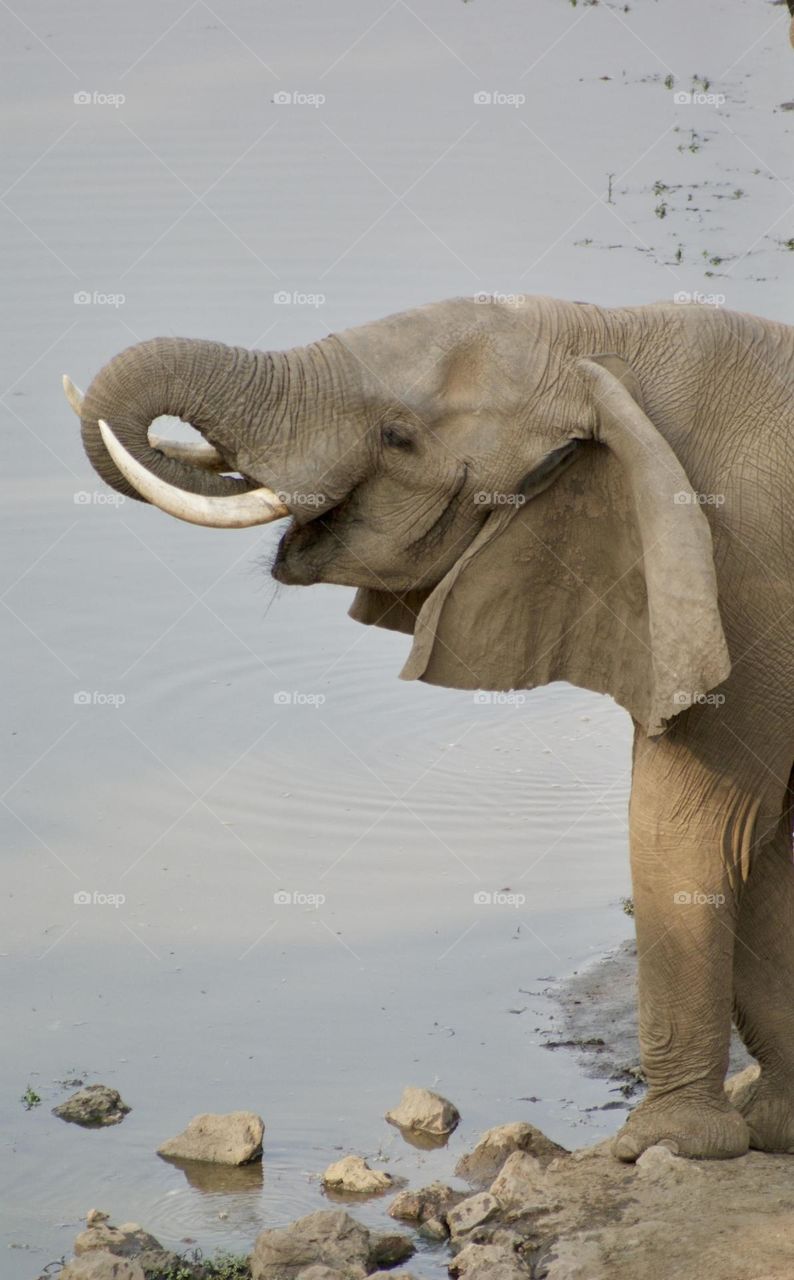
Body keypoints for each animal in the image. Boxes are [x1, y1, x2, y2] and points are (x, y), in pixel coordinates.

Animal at [64, 296, 794, 1162]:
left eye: (398, 436)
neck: (605, 340)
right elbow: (767, 853)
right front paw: (773, 1126)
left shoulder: (740, 581)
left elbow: (697, 828)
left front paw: (671, 1145)